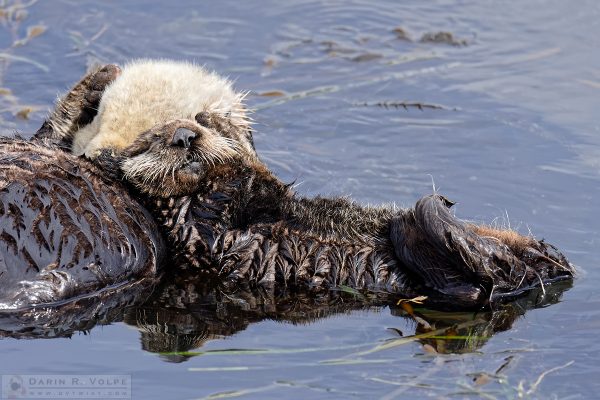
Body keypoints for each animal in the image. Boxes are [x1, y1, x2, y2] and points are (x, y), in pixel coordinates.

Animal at [64, 59, 572, 310]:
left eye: (190, 121)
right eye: (144, 142)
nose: (184, 136)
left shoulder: (259, 196)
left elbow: (260, 176)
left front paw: (223, 129)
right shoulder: (204, 234)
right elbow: (228, 196)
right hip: (457, 276)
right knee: (477, 272)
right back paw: (430, 215)